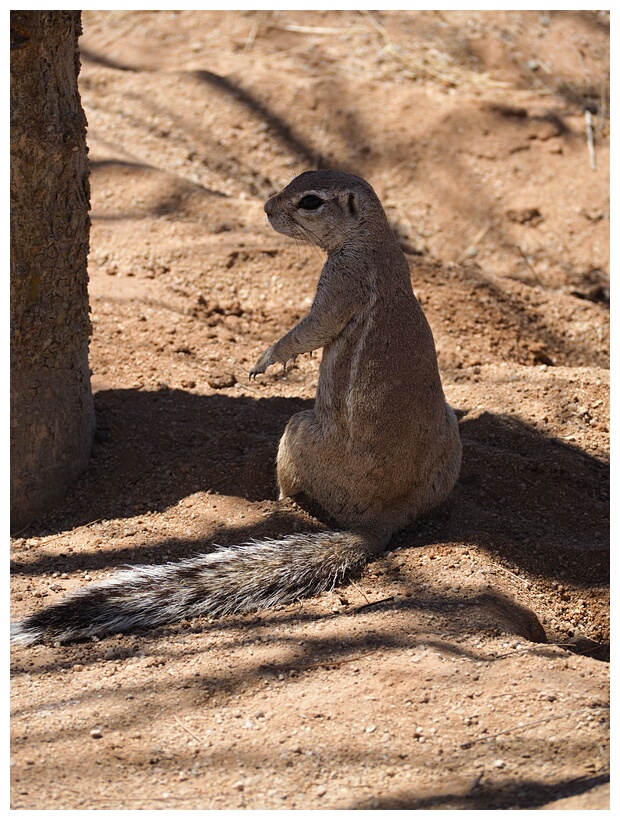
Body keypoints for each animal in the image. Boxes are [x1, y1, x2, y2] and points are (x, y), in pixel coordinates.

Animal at [12, 171, 462, 648]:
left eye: (310, 201)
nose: (266, 208)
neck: (376, 240)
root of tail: (382, 520)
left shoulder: (341, 280)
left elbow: (312, 328)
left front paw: (265, 360)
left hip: (298, 431)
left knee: (292, 480)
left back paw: (280, 496)